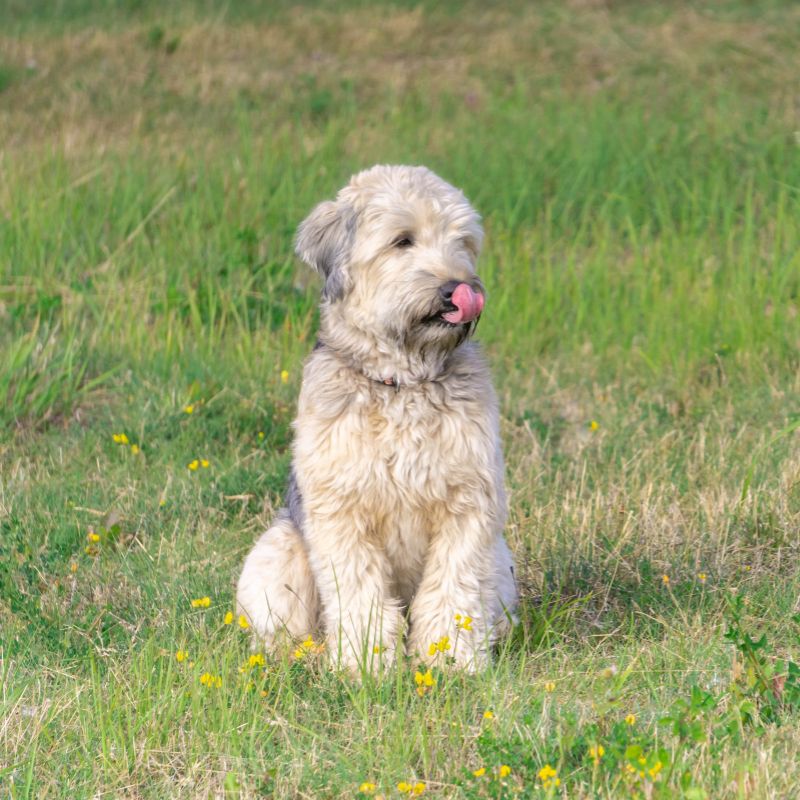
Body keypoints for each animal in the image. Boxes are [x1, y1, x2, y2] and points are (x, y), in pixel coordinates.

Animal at [234, 166, 516, 672]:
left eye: (462, 241)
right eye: (402, 241)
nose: (458, 289)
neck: (402, 382)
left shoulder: (469, 506)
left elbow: (453, 589)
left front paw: (450, 660)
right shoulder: (342, 511)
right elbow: (359, 593)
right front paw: (366, 665)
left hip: (502, 565)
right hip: (277, 551)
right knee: (283, 632)